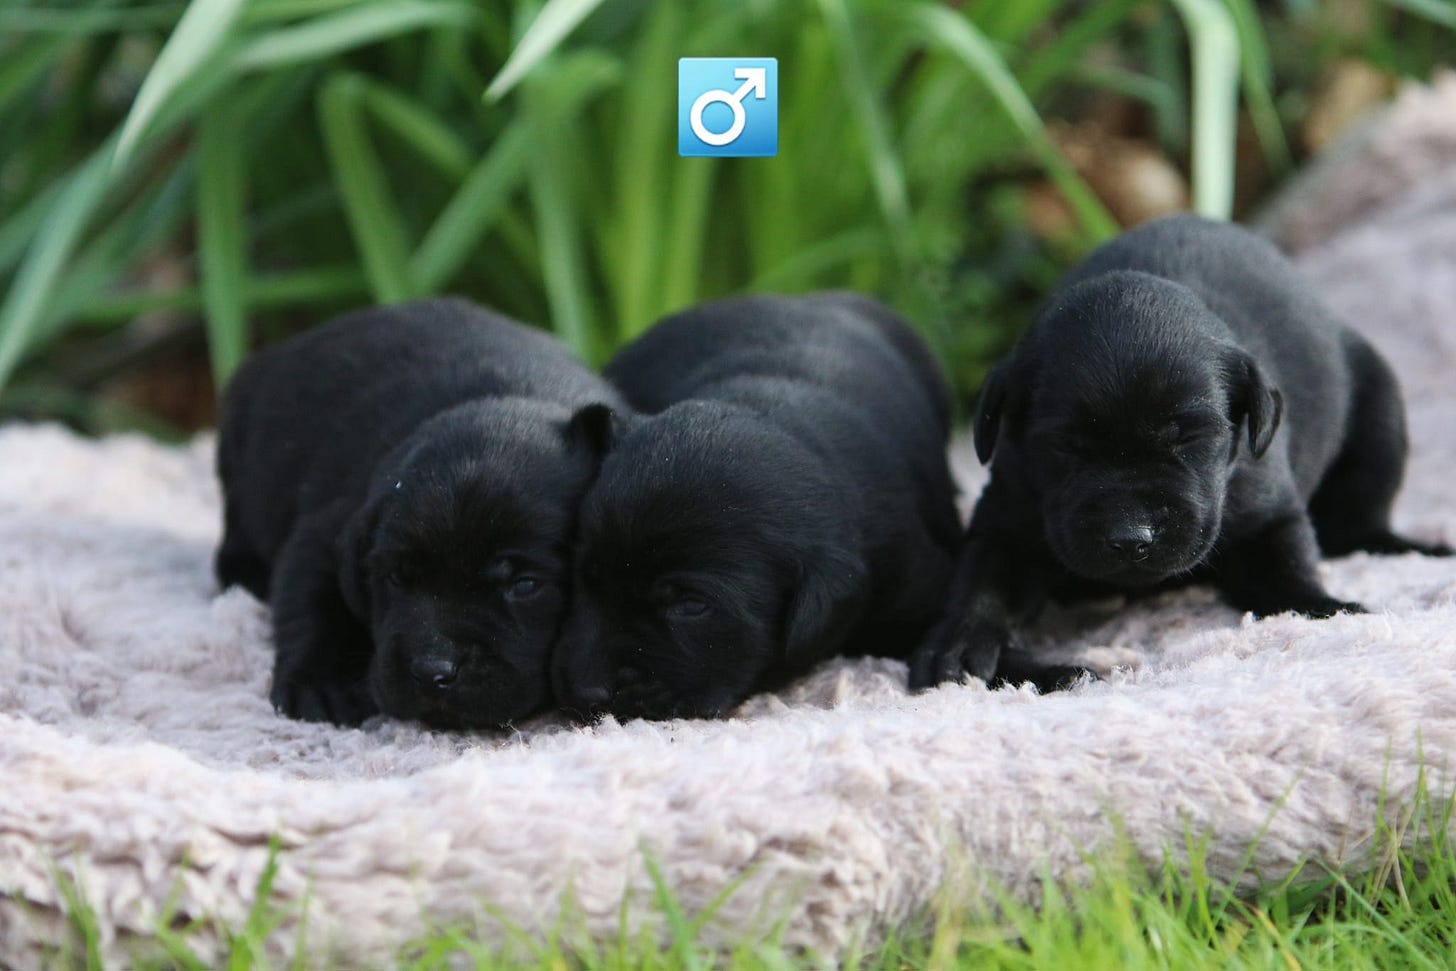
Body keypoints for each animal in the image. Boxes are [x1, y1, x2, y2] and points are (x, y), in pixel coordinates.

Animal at [215, 299, 626, 724]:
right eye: (397, 577)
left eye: (525, 585)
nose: (432, 671)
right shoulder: (327, 530)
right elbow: (309, 600)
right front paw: (320, 683)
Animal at [914, 213, 1450, 690]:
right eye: (1065, 445)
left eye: (1189, 438)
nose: (1130, 538)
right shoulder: (1007, 516)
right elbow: (985, 579)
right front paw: (961, 642)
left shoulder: (1267, 507)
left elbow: (1288, 564)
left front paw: (1325, 605)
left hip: (1381, 417)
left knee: (1359, 524)